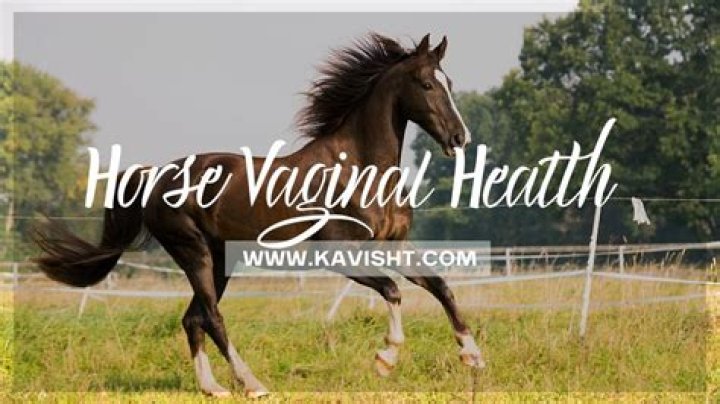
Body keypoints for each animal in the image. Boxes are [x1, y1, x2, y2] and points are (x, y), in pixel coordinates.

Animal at [33, 33, 485, 398]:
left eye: (449, 83)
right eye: (427, 84)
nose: (460, 138)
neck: (358, 167)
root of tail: (157, 176)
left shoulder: (395, 245)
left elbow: (440, 286)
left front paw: (473, 356)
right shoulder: (337, 252)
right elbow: (392, 290)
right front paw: (386, 359)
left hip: (219, 260)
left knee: (192, 319)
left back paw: (213, 388)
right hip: (194, 252)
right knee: (212, 318)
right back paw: (252, 383)